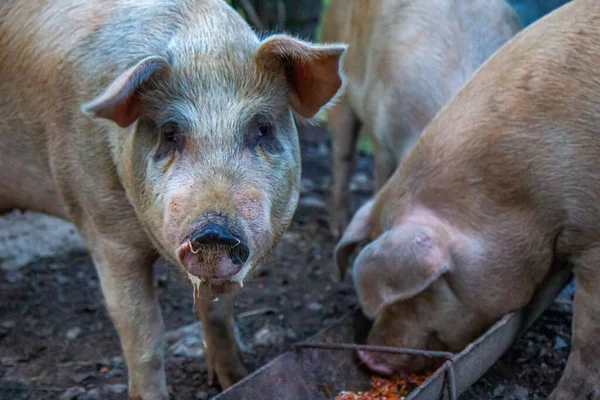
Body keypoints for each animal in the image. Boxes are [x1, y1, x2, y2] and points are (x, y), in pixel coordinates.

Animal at [0, 1, 346, 398]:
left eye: (262, 129)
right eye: (169, 133)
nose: (214, 233)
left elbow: (217, 313)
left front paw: (237, 380)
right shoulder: (104, 232)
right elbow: (144, 337)